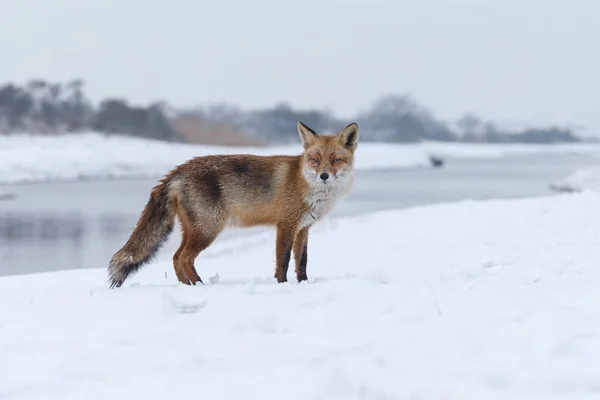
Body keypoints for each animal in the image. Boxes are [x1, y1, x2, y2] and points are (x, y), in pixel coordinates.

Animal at [107, 119, 358, 288]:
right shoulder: (286, 225)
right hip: (208, 229)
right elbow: (284, 260)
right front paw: (282, 284)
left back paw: (188, 286)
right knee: (183, 257)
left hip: (194, 230)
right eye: (315, 159)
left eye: (336, 160)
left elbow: (302, 261)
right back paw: (199, 285)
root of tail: (178, 170)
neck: (306, 185)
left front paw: (304, 283)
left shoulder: (303, 228)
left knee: (176, 257)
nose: (324, 176)